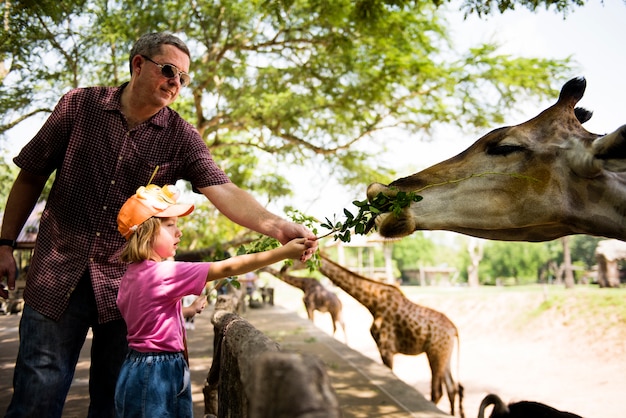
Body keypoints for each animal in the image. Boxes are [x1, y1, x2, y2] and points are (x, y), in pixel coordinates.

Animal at [312, 253, 464, 416]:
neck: (373, 302)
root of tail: (454, 329)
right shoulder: (383, 348)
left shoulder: (386, 348)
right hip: (445, 354)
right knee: (452, 388)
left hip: (435, 353)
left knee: (438, 392)